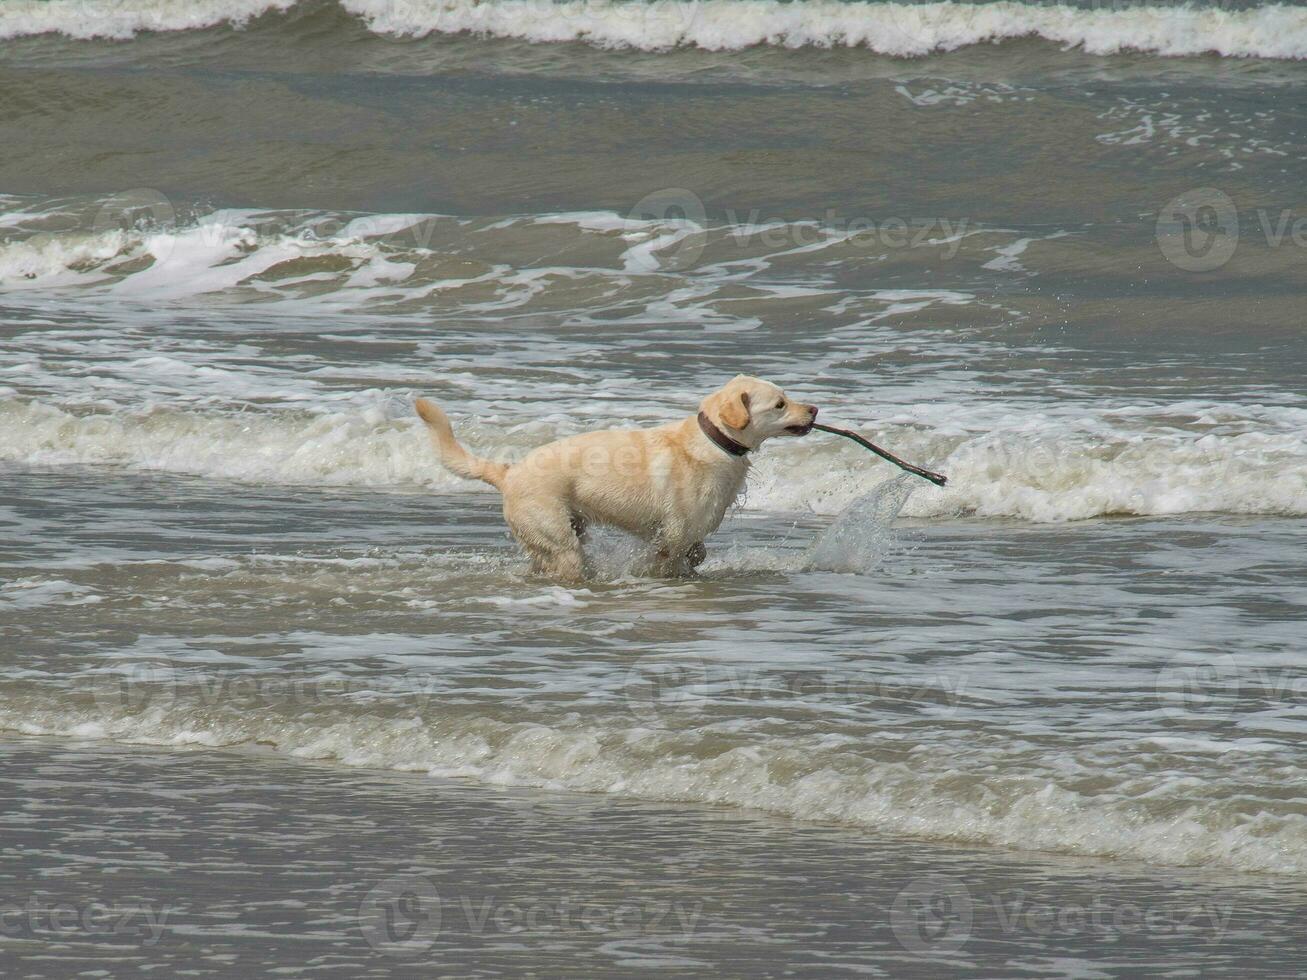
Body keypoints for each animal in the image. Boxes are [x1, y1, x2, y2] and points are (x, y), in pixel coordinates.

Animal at [418, 373, 810, 574]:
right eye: (780, 404)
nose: (815, 409)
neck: (715, 440)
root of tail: (508, 472)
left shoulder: (689, 534)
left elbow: (697, 554)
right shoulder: (674, 534)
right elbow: (670, 558)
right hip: (560, 539)